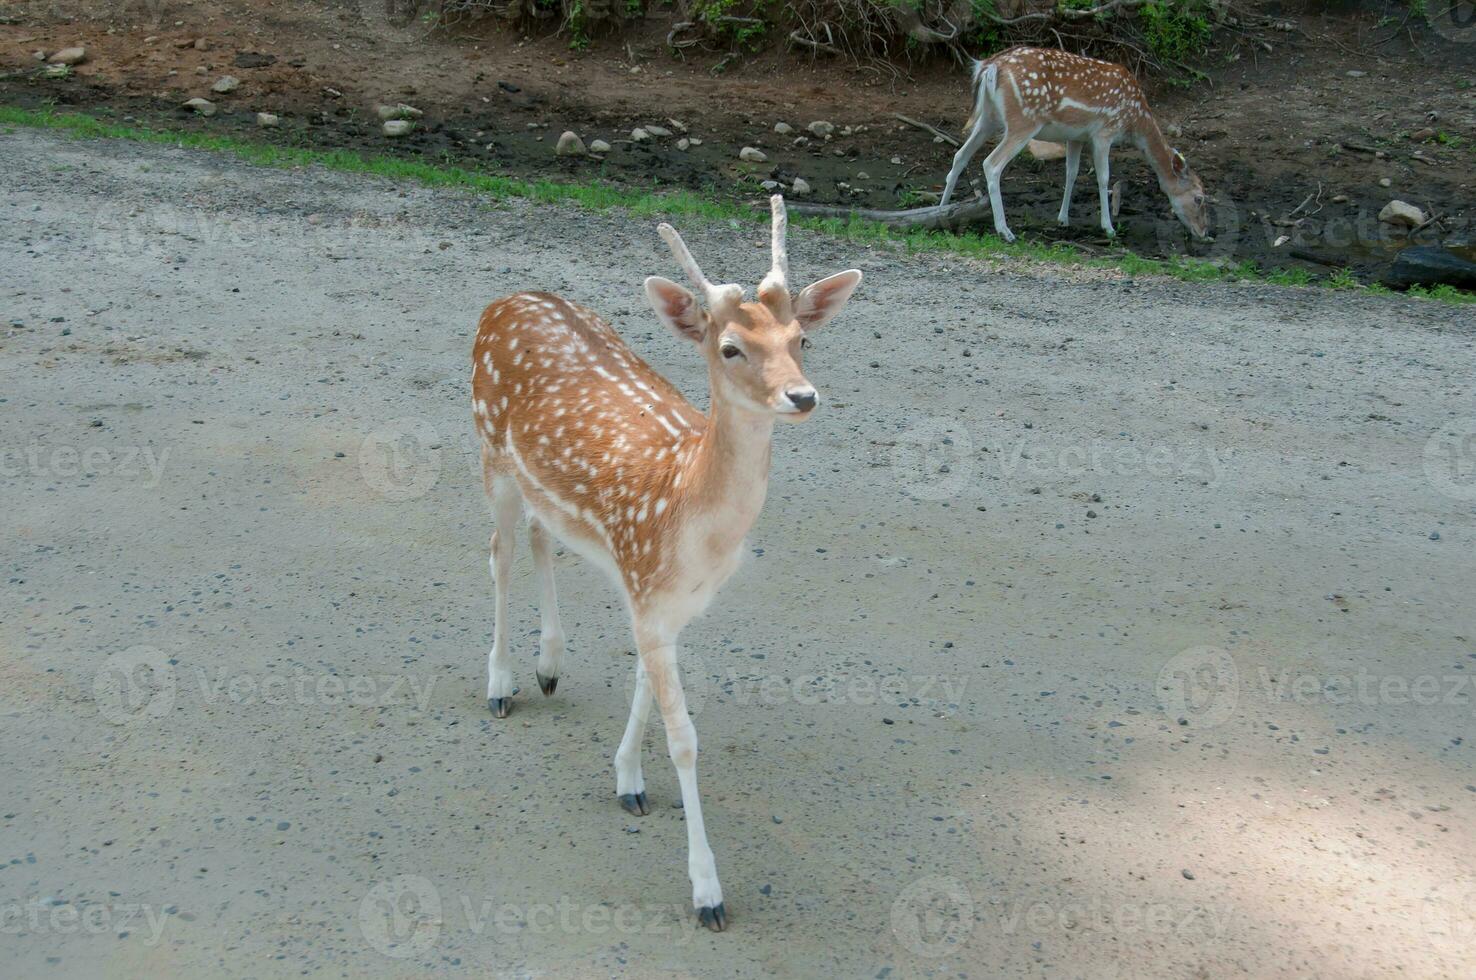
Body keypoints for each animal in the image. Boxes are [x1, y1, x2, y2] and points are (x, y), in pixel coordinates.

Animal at [469, 194, 861, 932]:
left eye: (802, 340)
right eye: (731, 347)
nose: (802, 396)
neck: (686, 512)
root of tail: (504, 300)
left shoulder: (667, 601)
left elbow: (645, 685)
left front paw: (627, 779)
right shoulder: (647, 587)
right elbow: (684, 738)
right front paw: (707, 891)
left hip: (538, 485)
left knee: (538, 534)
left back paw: (549, 665)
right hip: (489, 448)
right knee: (499, 553)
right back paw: (501, 683)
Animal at [938, 45, 1204, 245]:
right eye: (1200, 198)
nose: (1204, 232)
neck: (1135, 121)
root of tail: (989, 67)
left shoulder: (1076, 137)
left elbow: (1071, 173)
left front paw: (1063, 219)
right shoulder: (1104, 131)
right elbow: (1104, 178)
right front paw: (1108, 228)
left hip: (988, 118)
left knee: (960, 156)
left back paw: (941, 212)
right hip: (1023, 119)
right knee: (991, 164)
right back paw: (1005, 231)